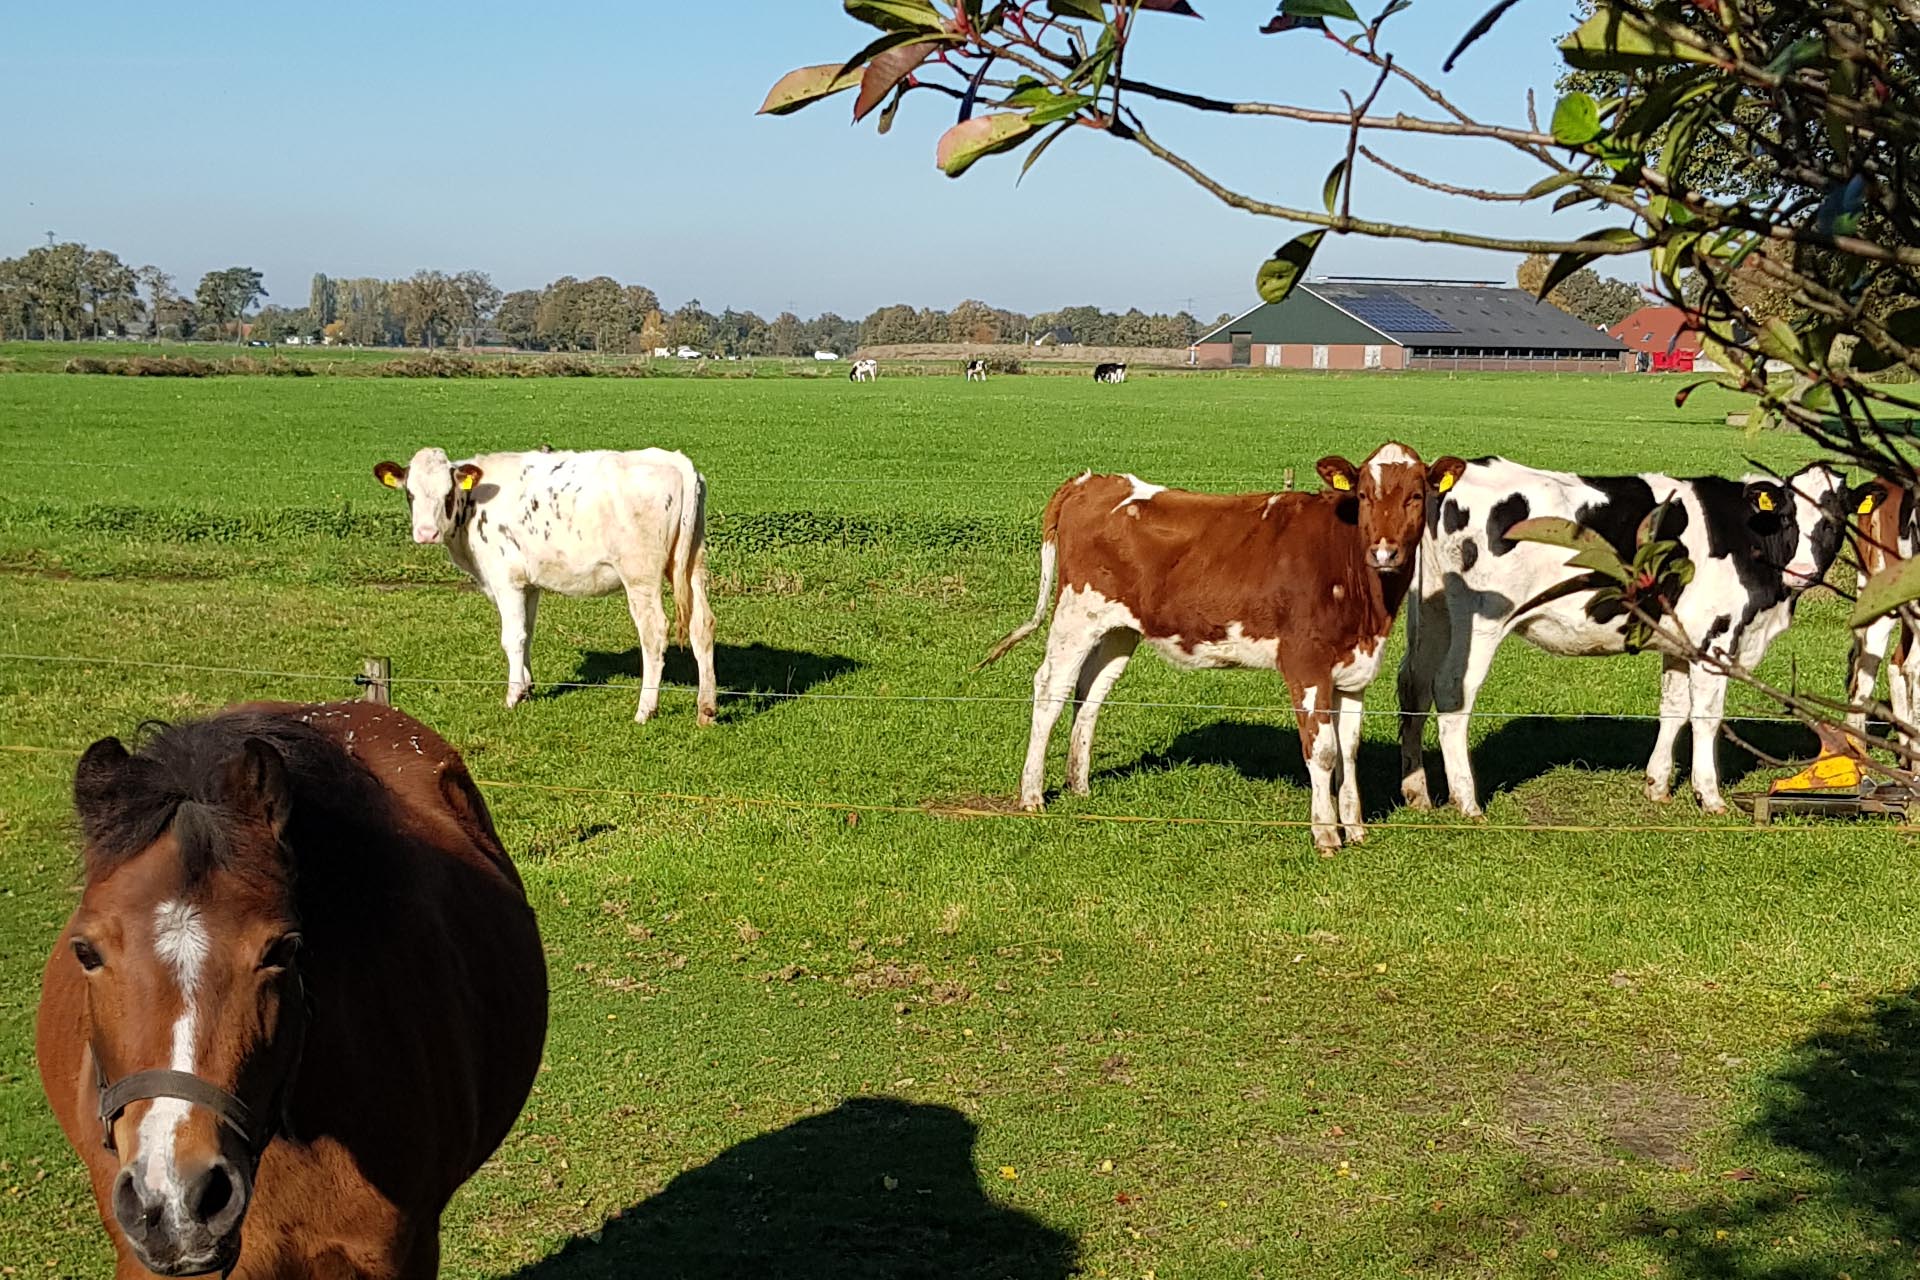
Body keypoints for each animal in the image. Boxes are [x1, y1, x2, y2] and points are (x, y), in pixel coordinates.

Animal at [372, 446, 718, 725]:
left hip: (640, 574)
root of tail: (675, 460)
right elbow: (528, 632)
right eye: (410, 494)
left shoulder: (505, 579)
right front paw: (527, 687)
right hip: (692, 564)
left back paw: (645, 709)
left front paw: (513, 695)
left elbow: (512, 637)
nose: (426, 533)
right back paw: (706, 708)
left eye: (447, 493)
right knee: (702, 625)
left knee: (654, 632)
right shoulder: (530, 583)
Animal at [981, 443, 1467, 851]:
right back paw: (1032, 794)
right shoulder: (1305, 663)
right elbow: (1323, 751)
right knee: (1051, 689)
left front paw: (1357, 828)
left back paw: (1079, 786)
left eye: (1416, 496)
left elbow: (1348, 750)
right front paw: (1326, 835)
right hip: (1075, 613)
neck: (1368, 607)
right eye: (1364, 495)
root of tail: (1095, 479)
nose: (1385, 552)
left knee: (1091, 692)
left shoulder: (1355, 670)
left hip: (1119, 628)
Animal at [1397, 458, 1868, 817]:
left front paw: (1657, 785)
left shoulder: (1680, 643)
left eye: (1835, 521)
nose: (1802, 571)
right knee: (1451, 690)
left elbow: (1673, 709)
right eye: (1788, 517)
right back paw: (1467, 801)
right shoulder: (1714, 640)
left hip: (1433, 612)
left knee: (1413, 685)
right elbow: (1707, 717)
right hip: (1481, 622)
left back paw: (1417, 792)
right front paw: (1709, 796)